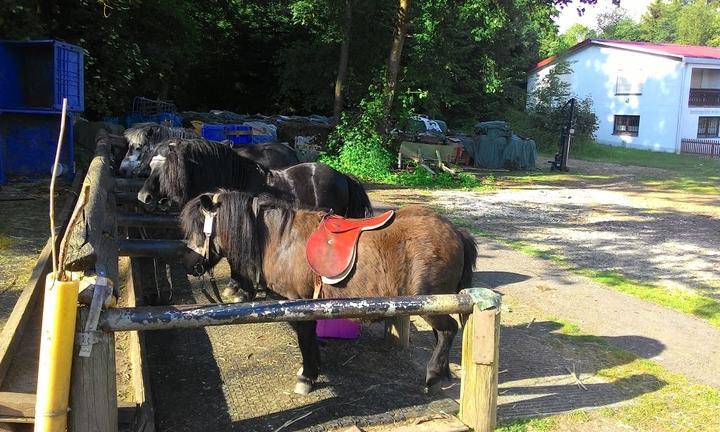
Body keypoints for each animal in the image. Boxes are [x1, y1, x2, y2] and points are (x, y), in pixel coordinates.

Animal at [180, 189, 478, 394]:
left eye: (199, 228)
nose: (188, 265)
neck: (281, 239)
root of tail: (457, 232)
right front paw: (309, 371)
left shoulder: (299, 303)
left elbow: (305, 340)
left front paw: (307, 377)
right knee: (442, 334)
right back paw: (441, 374)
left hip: (432, 302)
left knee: (448, 330)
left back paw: (432, 375)